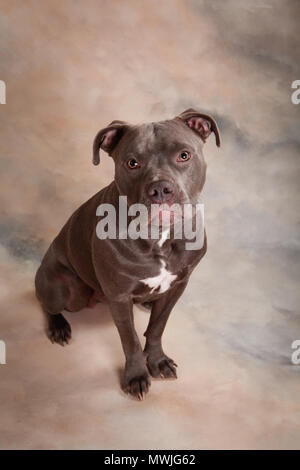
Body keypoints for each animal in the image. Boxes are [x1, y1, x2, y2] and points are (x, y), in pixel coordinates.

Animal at [36, 109, 221, 400]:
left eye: (184, 155)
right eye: (132, 163)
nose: (161, 189)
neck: (160, 237)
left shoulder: (178, 285)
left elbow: (157, 327)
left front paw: (157, 361)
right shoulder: (120, 297)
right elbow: (130, 339)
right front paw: (136, 375)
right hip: (67, 291)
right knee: (46, 302)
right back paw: (58, 327)